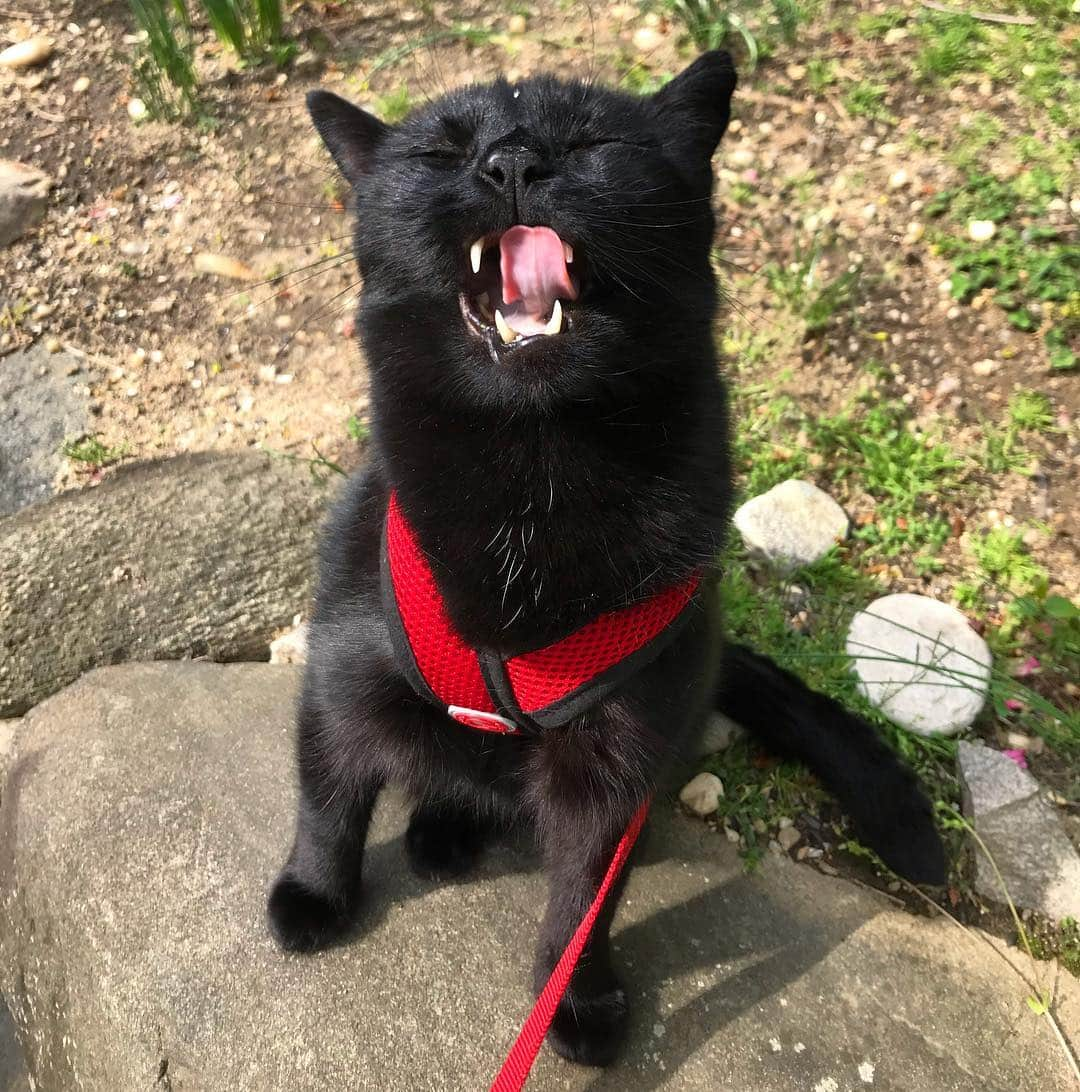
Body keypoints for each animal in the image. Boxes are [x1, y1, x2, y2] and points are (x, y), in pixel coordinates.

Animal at [267, 51, 943, 1065]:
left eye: (594, 142)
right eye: (440, 153)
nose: (510, 161)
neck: (534, 475)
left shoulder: (620, 757)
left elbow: (586, 897)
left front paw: (577, 1000)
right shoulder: (342, 673)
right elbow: (327, 802)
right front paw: (312, 898)